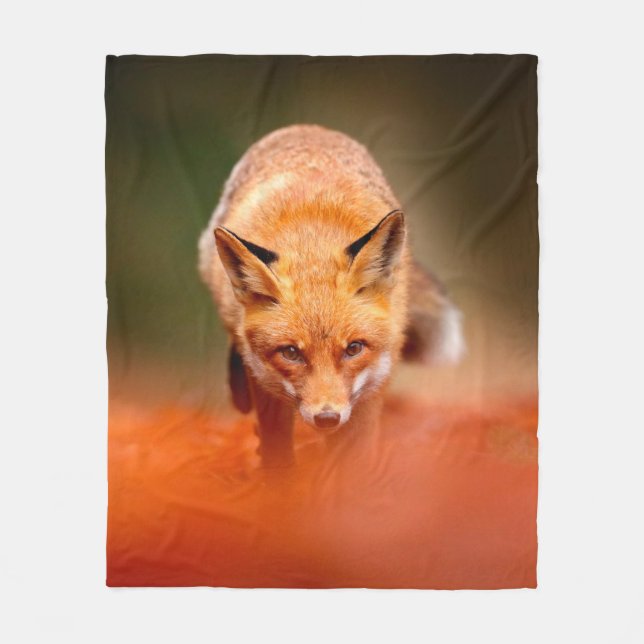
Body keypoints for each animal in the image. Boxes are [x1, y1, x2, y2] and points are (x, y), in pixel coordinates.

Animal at [199, 125, 464, 467]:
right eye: (290, 352)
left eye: (354, 348)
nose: (327, 418)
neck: (313, 242)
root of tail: (308, 128)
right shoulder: (267, 382)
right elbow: (277, 448)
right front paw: (278, 478)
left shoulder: (372, 385)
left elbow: (353, 463)